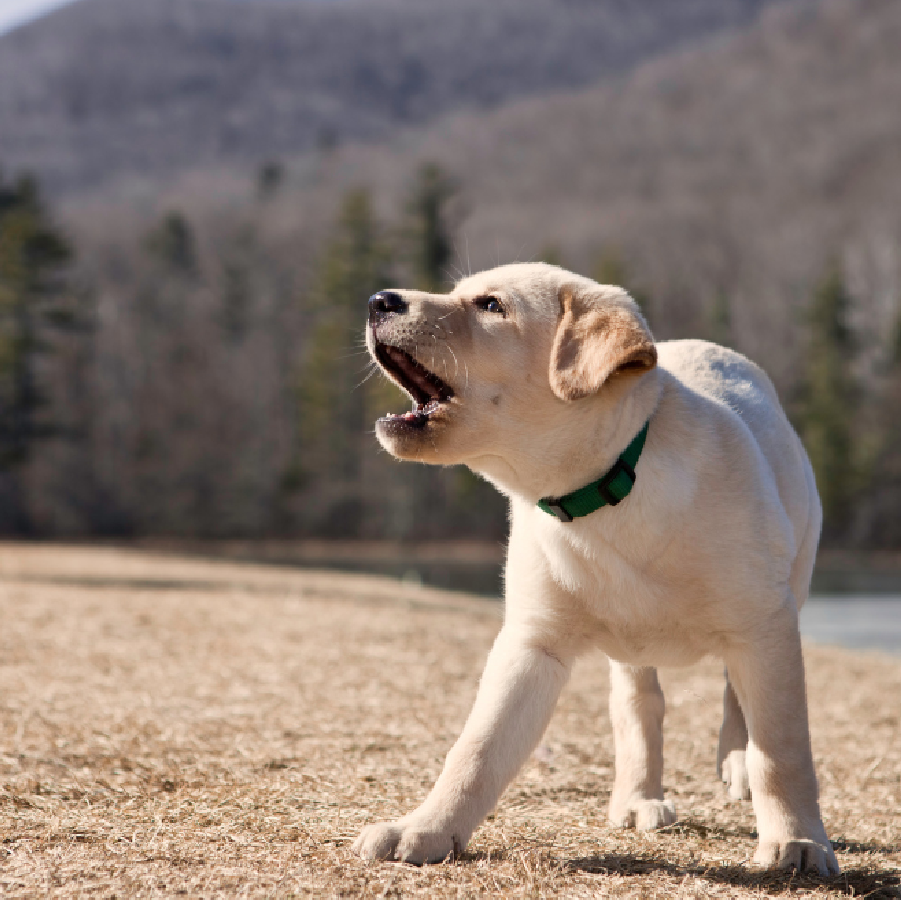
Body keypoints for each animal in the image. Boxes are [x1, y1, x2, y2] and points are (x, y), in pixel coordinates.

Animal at [352, 264, 836, 876]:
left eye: (491, 306)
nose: (377, 300)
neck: (606, 492)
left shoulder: (763, 623)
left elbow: (781, 746)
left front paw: (798, 841)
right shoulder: (532, 642)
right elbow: (478, 748)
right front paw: (426, 829)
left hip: (790, 583)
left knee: (736, 695)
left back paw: (735, 763)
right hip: (632, 649)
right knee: (639, 709)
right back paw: (637, 799)